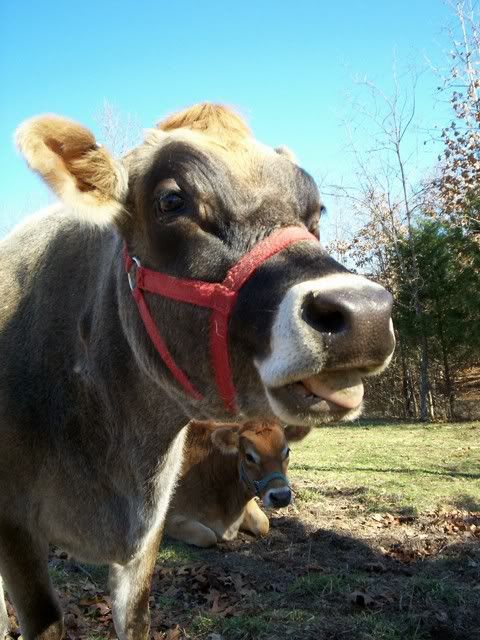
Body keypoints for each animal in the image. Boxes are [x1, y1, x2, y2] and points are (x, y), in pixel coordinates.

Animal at [165, 419, 294, 547]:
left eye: (287, 451)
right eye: (249, 456)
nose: (281, 497)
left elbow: (263, 524)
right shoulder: (169, 517)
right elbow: (207, 536)